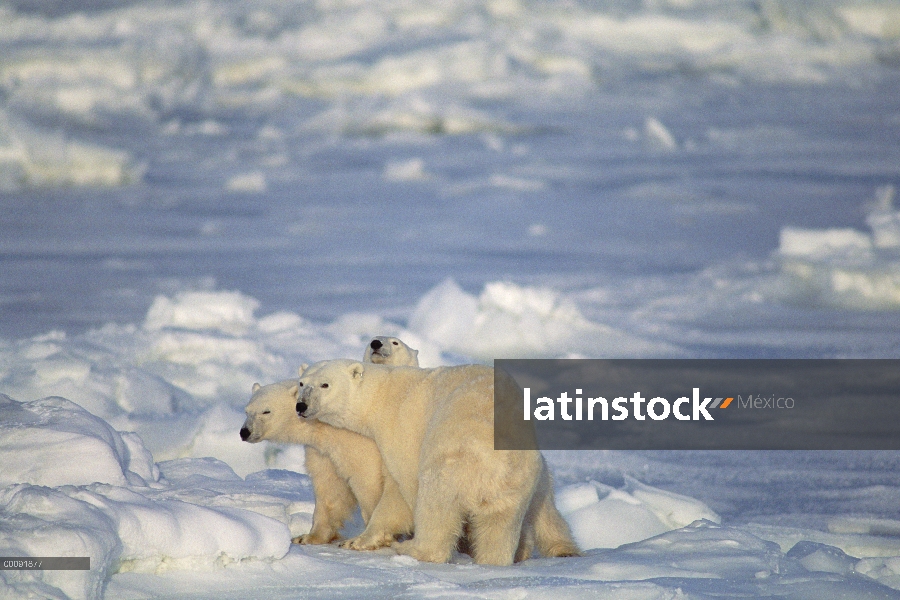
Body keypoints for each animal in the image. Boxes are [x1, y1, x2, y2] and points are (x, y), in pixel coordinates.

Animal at [294, 360, 576, 568]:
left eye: (325, 384)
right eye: (301, 383)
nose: (301, 406)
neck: (385, 395)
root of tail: (500, 463)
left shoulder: (403, 428)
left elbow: (402, 491)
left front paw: (358, 541)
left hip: (453, 461)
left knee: (436, 507)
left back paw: (413, 549)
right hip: (518, 483)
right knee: (500, 526)